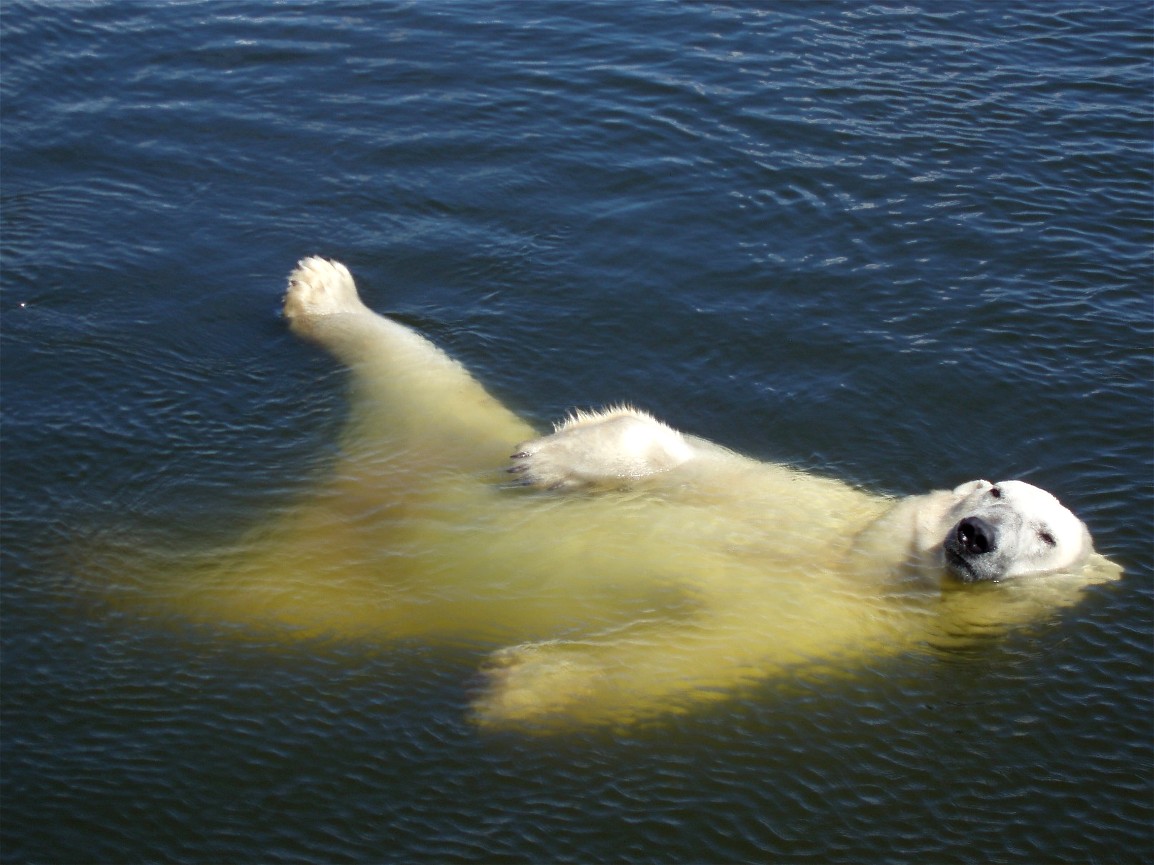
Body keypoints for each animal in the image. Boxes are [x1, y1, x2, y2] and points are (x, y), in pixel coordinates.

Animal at [151, 257, 1122, 731]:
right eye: (991, 485)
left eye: (1045, 536)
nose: (973, 535)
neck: (861, 562)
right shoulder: (791, 497)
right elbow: (660, 441)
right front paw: (542, 463)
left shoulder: (817, 627)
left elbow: (674, 658)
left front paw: (518, 685)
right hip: (439, 423)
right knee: (413, 361)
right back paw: (325, 289)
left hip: (313, 590)